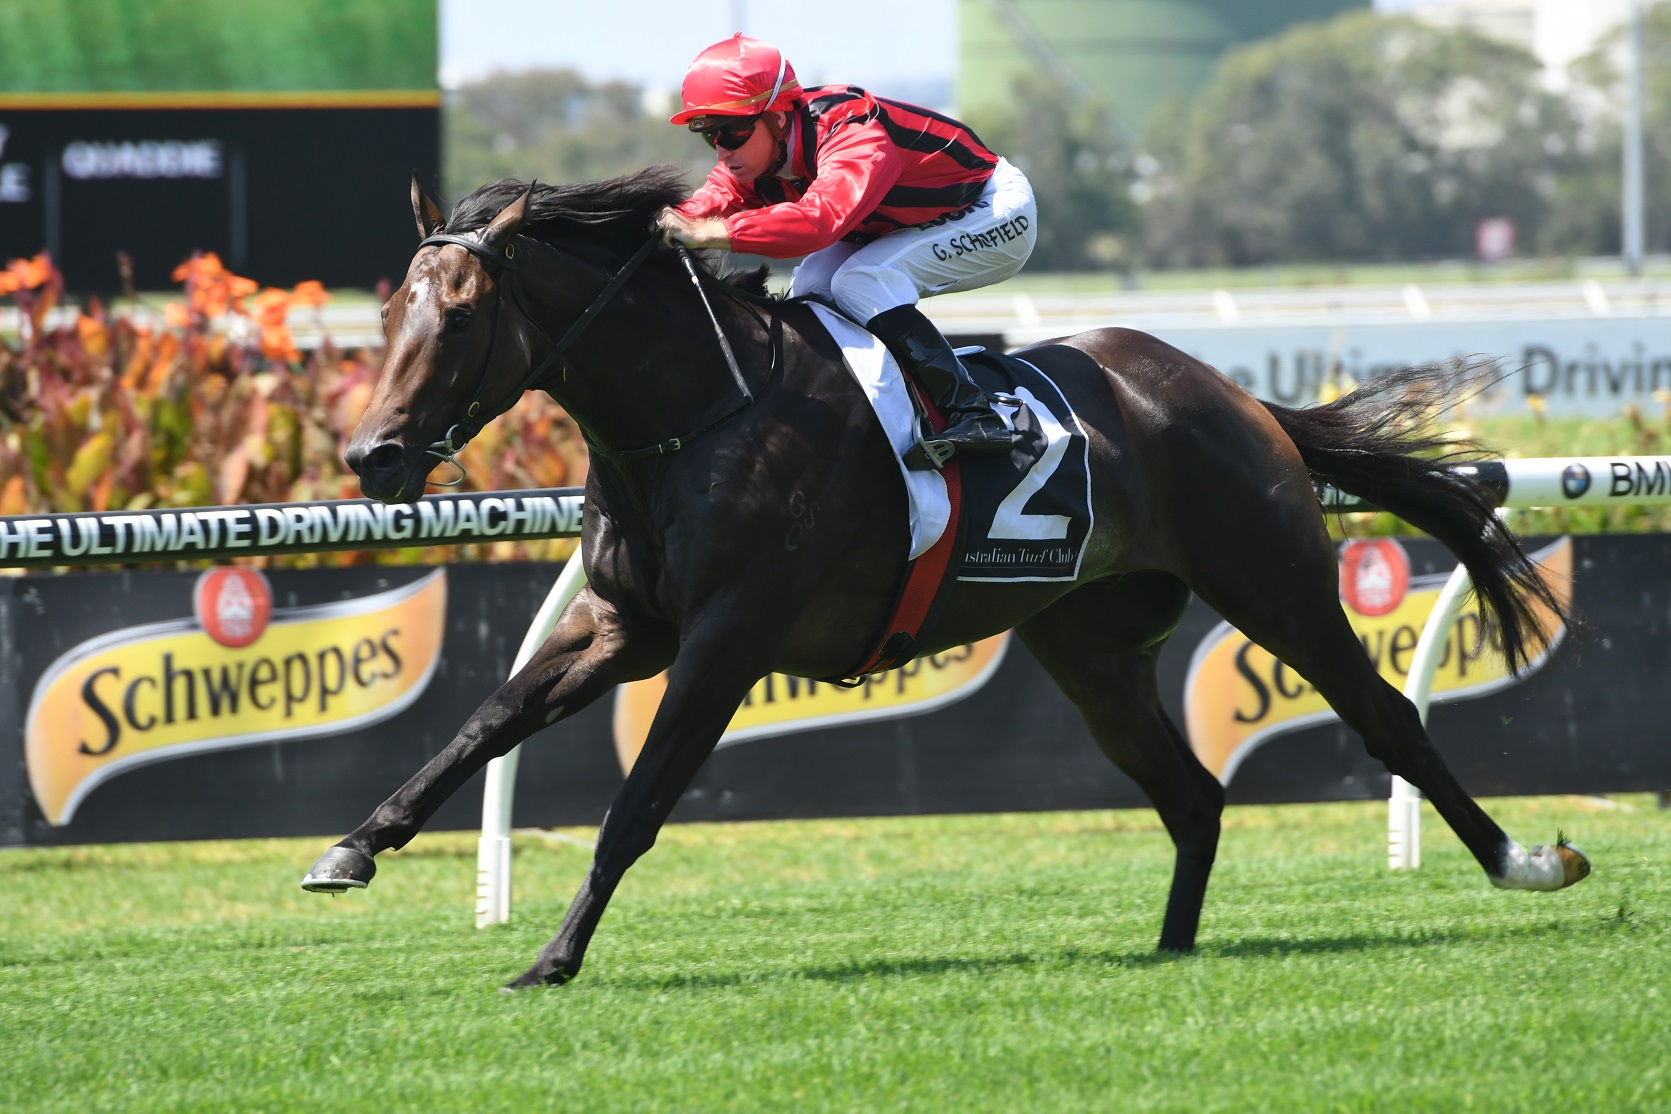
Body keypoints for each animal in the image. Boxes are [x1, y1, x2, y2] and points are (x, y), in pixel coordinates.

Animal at [303, 166, 1590, 991]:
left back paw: (1527, 862)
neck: (698, 412)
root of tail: (1231, 394)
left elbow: (637, 803)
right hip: (1086, 644)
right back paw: (1170, 952)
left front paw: (552, 957)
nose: (372, 457)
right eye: (390, 305)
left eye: (461, 312)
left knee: (1387, 725)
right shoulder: (628, 624)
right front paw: (352, 848)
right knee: (1190, 794)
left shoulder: (727, 636)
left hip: (1273, 583)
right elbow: (481, 725)